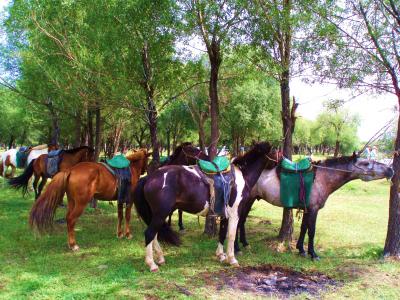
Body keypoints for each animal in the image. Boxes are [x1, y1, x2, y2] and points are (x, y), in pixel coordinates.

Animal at [133, 141, 276, 272]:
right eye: (275, 151)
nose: (279, 165)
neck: (241, 177)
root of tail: (149, 178)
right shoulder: (235, 213)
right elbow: (231, 235)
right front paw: (232, 259)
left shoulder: (224, 214)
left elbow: (222, 234)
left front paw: (221, 255)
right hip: (161, 213)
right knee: (149, 233)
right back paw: (152, 264)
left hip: (156, 214)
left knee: (154, 235)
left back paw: (161, 258)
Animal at [234, 154, 394, 258]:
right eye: (366, 163)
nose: (390, 170)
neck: (321, 178)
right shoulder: (313, 209)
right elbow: (312, 231)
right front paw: (313, 253)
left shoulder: (307, 209)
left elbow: (304, 228)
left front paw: (301, 250)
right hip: (246, 200)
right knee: (238, 221)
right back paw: (236, 248)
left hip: (251, 200)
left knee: (242, 221)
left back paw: (245, 243)